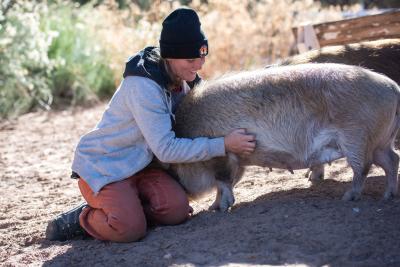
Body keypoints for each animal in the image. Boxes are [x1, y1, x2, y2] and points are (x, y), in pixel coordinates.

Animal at [173, 62, 400, 211]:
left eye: (171, 168)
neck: (187, 131)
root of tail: (393, 87)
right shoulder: (238, 161)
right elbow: (227, 183)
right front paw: (213, 208)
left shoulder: (222, 158)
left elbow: (223, 183)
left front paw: (220, 208)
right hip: (379, 141)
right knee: (392, 160)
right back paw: (388, 196)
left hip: (357, 137)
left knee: (363, 167)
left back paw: (348, 198)